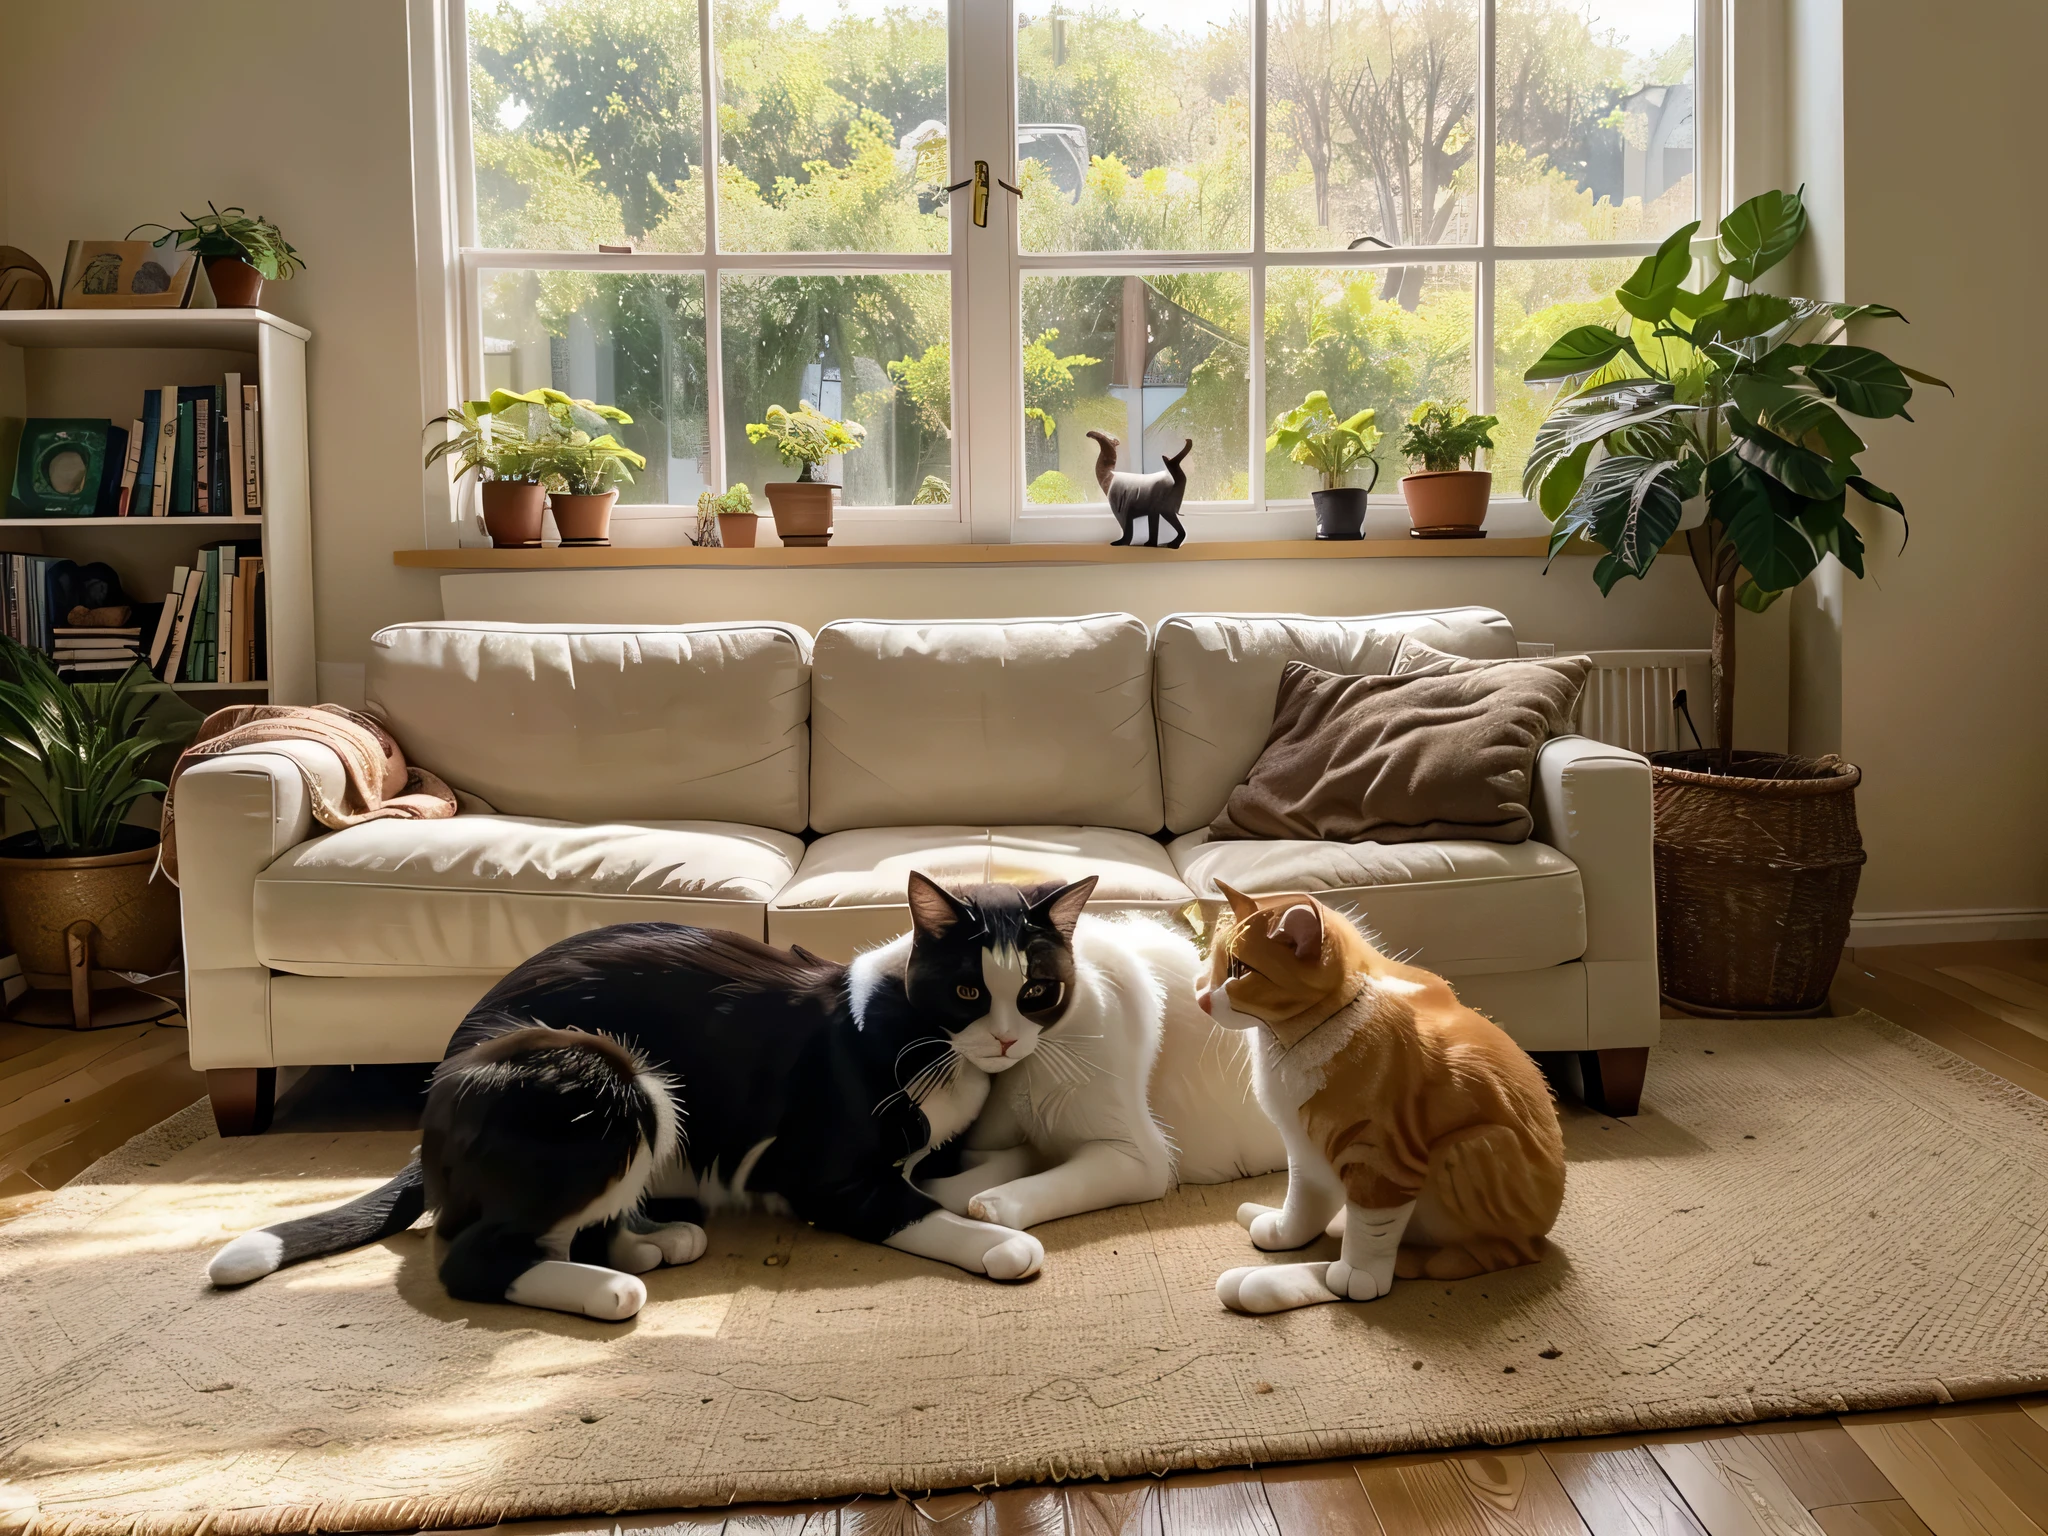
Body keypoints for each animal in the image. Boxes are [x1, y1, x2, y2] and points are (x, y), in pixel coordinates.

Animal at [205, 876, 1097, 1327]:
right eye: (967, 991)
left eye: (1039, 991)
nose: (1008, 1042)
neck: (923, 1041)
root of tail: (433, 1111)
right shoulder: (826, 1175)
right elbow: (914, 1207)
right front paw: (998, 1243)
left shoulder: (930, 1146)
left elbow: (966, 1170)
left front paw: (998, 1188)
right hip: (614, 1079)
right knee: (471, 1255)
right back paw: (607, 1288)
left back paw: (646, 1243)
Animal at [1196, 884, 1556, 1318]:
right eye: (1215, 963)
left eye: (1239, 971)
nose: (1200, 999)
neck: (1285, 1045)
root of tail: (1543, 1234)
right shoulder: (1304, 1150)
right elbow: (1302, 1204)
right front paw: (1284, 1231)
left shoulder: (1381, 1158)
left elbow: (1371, 1230)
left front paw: (1358, 1273)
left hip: (1472, 1147)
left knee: (1486, 1254)